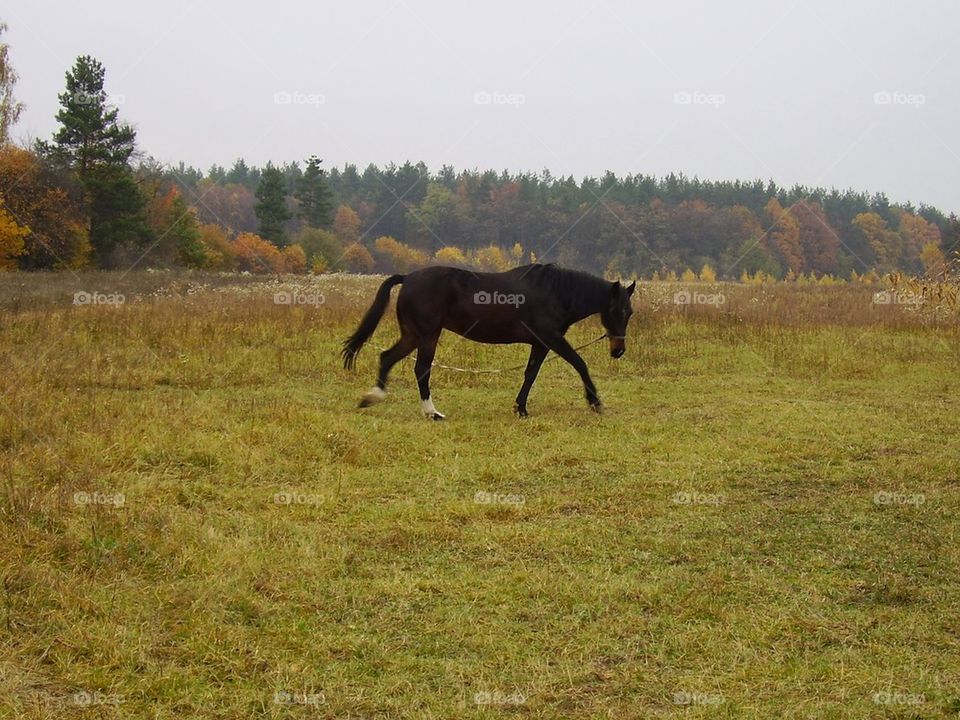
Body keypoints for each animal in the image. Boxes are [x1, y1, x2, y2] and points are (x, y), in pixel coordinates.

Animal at [341, 263, 635, 419]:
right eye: (617, 311)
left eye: (629, 312)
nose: (619, 350)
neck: (555, 292)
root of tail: (408, 278)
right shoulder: (551, 337)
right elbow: (579, 363)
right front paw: (595, 402)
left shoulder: (540, 343)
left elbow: (530, 374)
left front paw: (520, 408)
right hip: (428, 335)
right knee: (421, 370)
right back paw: (432, 412)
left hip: (412, 335)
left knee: (387, 357)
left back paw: (373, 397)